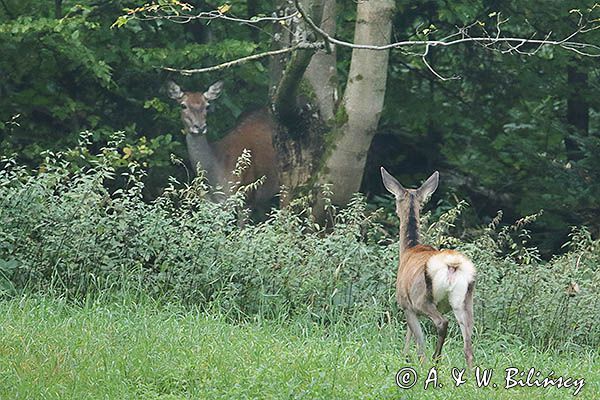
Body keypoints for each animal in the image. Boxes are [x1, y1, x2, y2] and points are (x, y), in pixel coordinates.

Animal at [382, 167, 476, 368]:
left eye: (395, 200)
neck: (409, 249)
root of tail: (452, 265)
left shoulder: (406, 303)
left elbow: (416, 340)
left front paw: (406, 357)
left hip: (422, 298)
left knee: (441, 324)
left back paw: (434, 360)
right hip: (465, 301)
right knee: (468, 347)